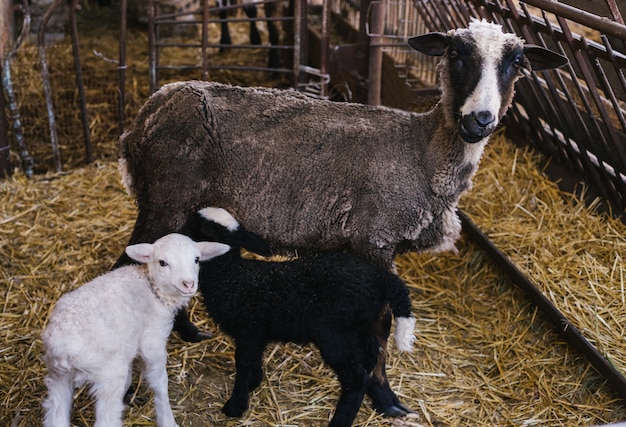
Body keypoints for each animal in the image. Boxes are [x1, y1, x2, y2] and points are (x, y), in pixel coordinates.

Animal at [40, 234, 229, 427]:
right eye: (162, 262)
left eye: (197, 259)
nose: (189, 284)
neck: (152, 287)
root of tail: (63, 345)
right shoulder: (153, 341)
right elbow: (160, 384)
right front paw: (167, 420)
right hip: (108, 375)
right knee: (106, 418)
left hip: (58, 376)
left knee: (55, 415)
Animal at [116, 19, 564, 418]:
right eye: (455, 54)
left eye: (518, 61)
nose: (480, 119)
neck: (421, 152)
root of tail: (148, 111)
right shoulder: (374, 239)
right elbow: (380, 327)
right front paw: (387, 401)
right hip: (166, 197)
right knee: (130, 263)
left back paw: (191, 333)